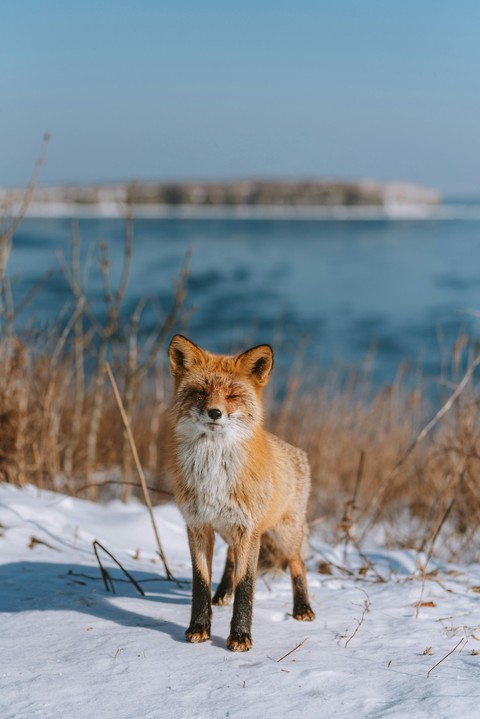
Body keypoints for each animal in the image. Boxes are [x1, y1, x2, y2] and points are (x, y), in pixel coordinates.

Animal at [167, 334, 315, 652]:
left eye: (233, 395)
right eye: (200, 392)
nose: (214, 413)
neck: (213, 474)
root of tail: (296, 452)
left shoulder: (248, 531)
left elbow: (246, 586)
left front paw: (240, 637)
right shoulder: (198, 526)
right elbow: (200, 582)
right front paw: (199, 628)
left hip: (284, 534)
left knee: (298, 564)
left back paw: (303, 608)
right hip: (228, 531)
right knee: (230, 559)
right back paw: (223, 593)